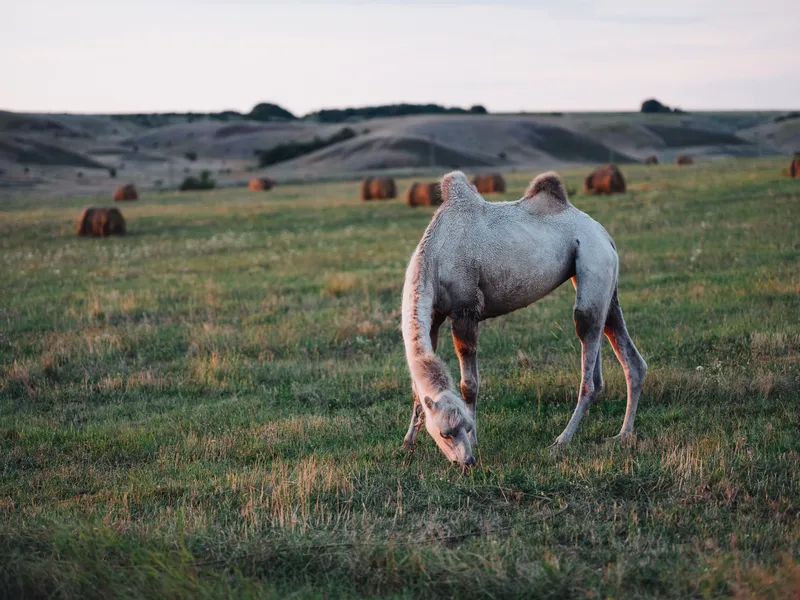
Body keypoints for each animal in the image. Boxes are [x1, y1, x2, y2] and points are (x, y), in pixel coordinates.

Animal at [401, 171, 647, 466]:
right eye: (444, 433)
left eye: (463, 427)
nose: (467, 462)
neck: (435, 259)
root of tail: (604, 234)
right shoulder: (434, 315)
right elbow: (418, 382)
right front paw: (407, 442)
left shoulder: (465, 311)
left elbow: (469, 385)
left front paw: (475, 440)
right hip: (604, 286)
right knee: (626, 354)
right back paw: (622, 434)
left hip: (594, 263)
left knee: (589, 362)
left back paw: (561, 440)